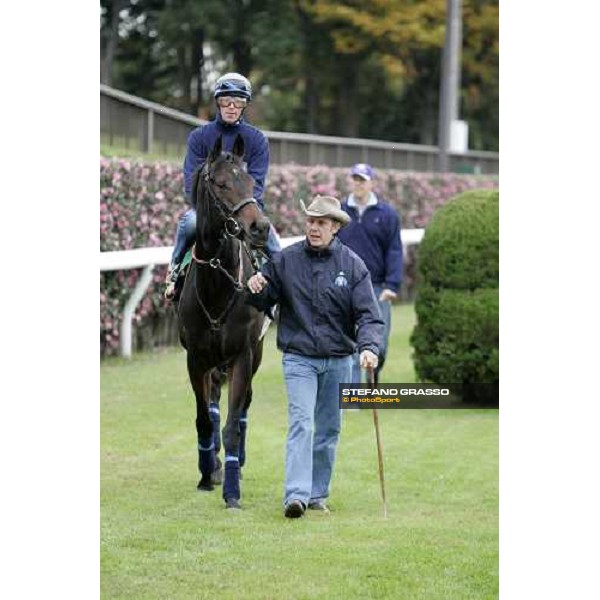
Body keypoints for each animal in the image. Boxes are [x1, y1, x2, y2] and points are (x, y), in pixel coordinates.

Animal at [177, 135, 270, 506]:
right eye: (220, 183)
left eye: (250, 181)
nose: (260, 227)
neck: (218, 283)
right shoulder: (196, 359)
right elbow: (205, 419)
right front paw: (207, 473)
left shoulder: (243, 355)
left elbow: (232, 423)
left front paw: (232, 491)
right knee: (215, 404)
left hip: (254, 354)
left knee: (244, 405)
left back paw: (237, 463)